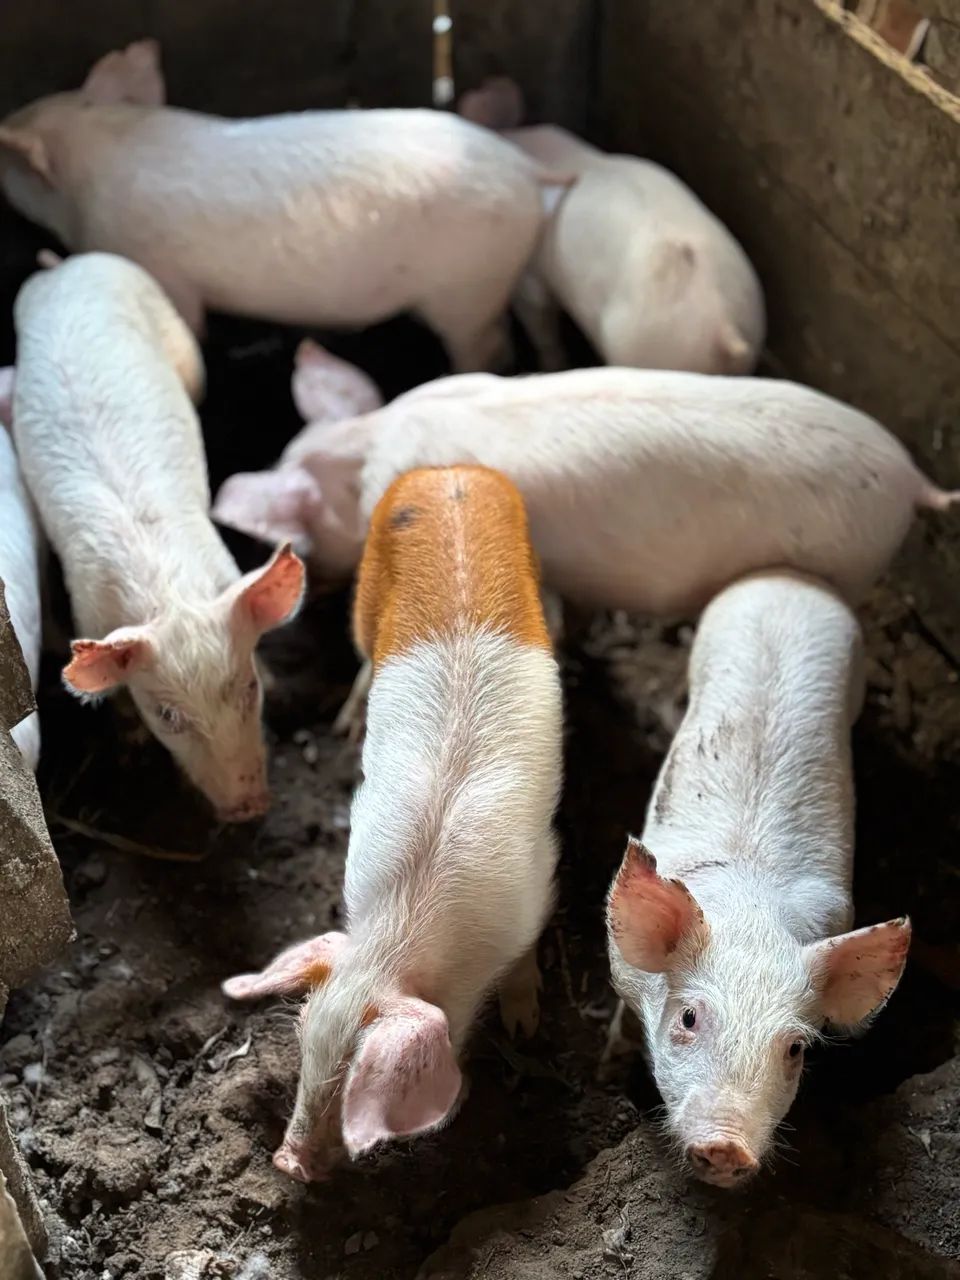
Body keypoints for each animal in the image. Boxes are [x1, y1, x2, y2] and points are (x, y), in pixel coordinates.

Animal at [0, 41, 559, 373]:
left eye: (9, 163)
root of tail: (523, 166)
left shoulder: (162, 268)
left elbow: (189, 320)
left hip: (466, 288)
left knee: (490, 345)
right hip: (513, 269)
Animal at [11, 252, 305, 820]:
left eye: (249, 687)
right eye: (168, 716)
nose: (250, 806)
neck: (170, 598)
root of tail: (67, 267)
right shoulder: (89, 612)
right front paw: (130, 747)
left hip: (178, 340)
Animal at [223, 465, 562, 1179]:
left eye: (359, 1074)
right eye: (303, 1042)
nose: (286, 1162)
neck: (400, 936)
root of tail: (451, 471)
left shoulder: (540, 882)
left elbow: (525, 961)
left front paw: (524, 1026)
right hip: (364, 595)